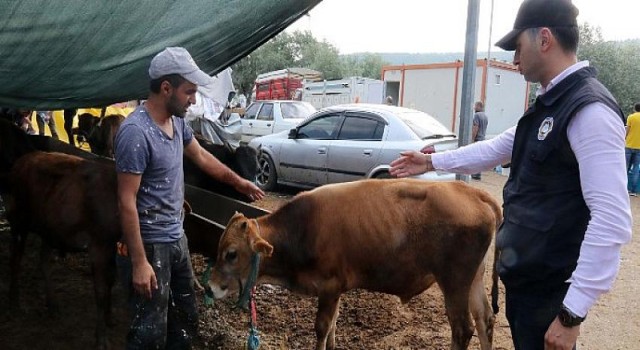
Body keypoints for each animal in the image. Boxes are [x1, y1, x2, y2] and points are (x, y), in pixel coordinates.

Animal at [209, 179, 500, 350]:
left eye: (231, 253)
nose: (210, 287)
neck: (302, 229)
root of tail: (471, 191)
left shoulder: (329, 286)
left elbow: (322, 327)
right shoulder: (336, 290)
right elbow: (334, 324)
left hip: (454, 282)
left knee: (462, 329)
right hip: (474, 279)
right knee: (485, 319)